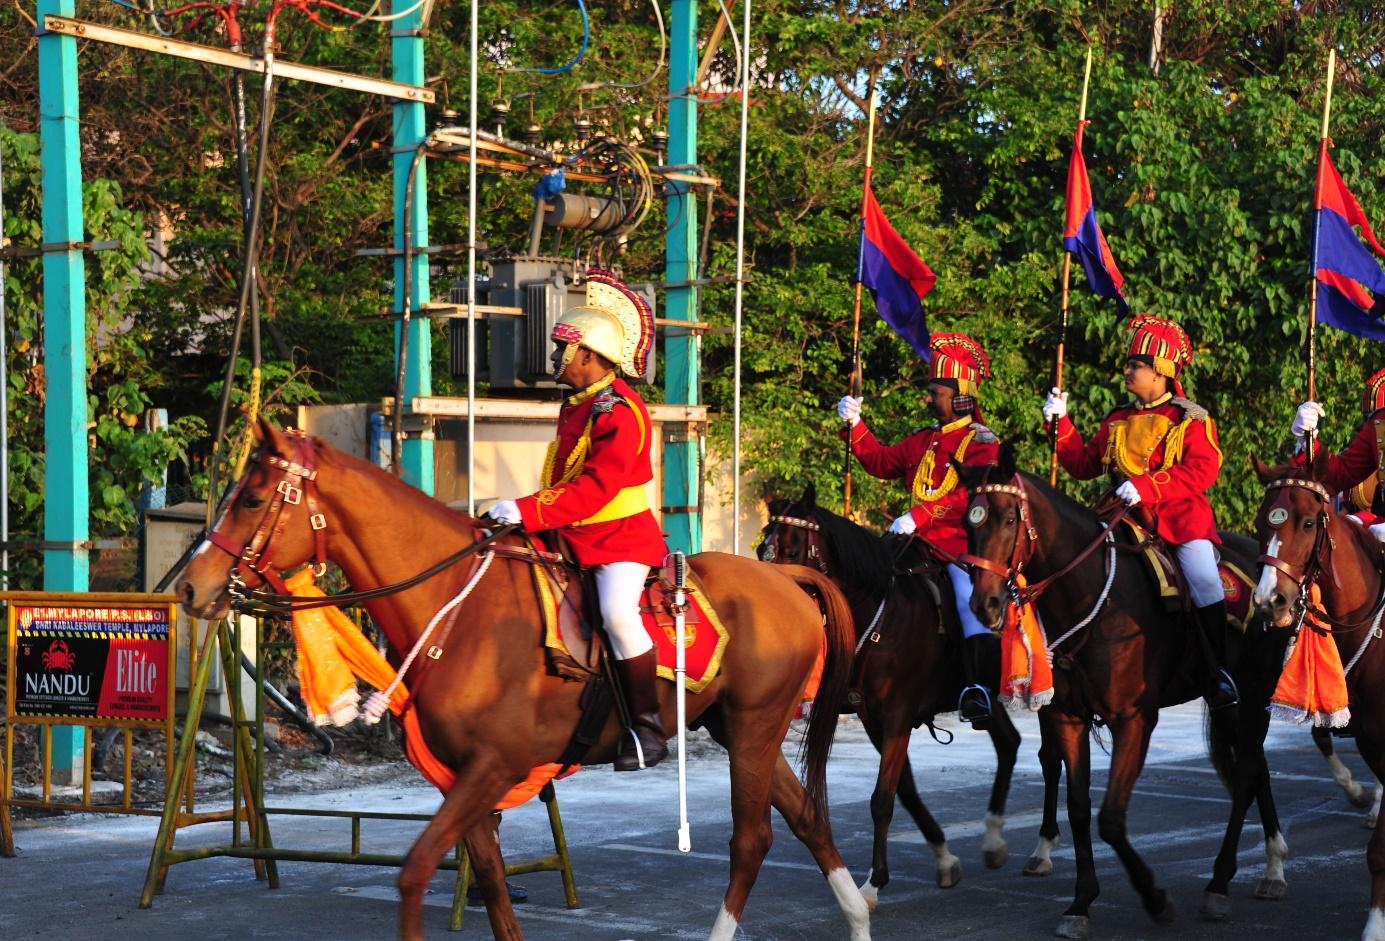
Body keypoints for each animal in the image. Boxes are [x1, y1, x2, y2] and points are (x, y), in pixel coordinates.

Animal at [178, 421, 869, 941]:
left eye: (250, 499)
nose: (190, 586)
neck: (456, 607)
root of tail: (784, 580)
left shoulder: (494, 765)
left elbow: (416, 870)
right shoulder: (464, 779)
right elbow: (491, 886)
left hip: (754, 729)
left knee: (752, 839)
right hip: (736, 729)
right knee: (809, 817)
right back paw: (859, 918)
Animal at [753, 485, 1024, 903]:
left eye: (794, 550)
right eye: (760, 551)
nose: (777, 606)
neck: (879, 611)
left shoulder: (898, 713)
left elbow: (882, 797)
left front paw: (874, 881)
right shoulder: (873, 719)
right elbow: (904, 789)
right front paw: (944, 858)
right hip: (991, 700)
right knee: (1009, 742)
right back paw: (995, 841)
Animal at [963, 451, 1268, 941]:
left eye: (1009, 518)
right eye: (967, 523)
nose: (983, 605)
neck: (1091, 596)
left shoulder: (1135, 719)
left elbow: (1110, 816)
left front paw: (1155, 897)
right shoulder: (1068, 718)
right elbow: (1079, 807)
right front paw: (1081, 902)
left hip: (1255, 696)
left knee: (1246, 779)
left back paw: (1222, 882)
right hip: (1231, 708)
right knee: (1255, 773)